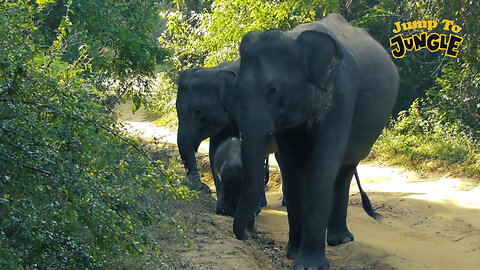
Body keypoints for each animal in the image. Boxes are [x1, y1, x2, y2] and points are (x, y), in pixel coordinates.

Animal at [227, 13, 400, 268]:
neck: (294, 39)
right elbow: (291, 168)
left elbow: (322, 166)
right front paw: (292, 253)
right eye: (236, 89)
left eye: (273, 89)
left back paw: (340, 240)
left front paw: (309, 265)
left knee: (344, 172)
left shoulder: (343, 96)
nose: (248, 234)